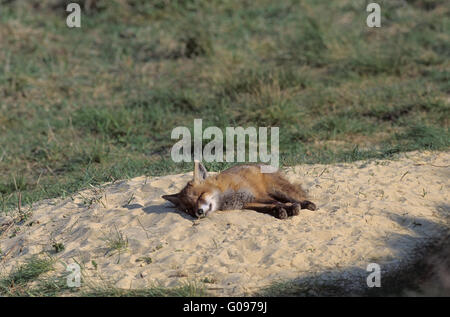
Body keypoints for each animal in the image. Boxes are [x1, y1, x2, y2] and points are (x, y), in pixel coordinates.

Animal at [163, 162, 316, 218]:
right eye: (189, 209)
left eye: (201, 196)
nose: (199, 212)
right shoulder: (247, 203)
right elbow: (271, 206)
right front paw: (279, 211)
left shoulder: (258, 195)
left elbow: (277, 202)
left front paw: (289, 208)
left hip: (278, 189)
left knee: (298, 198)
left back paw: (306, 204)